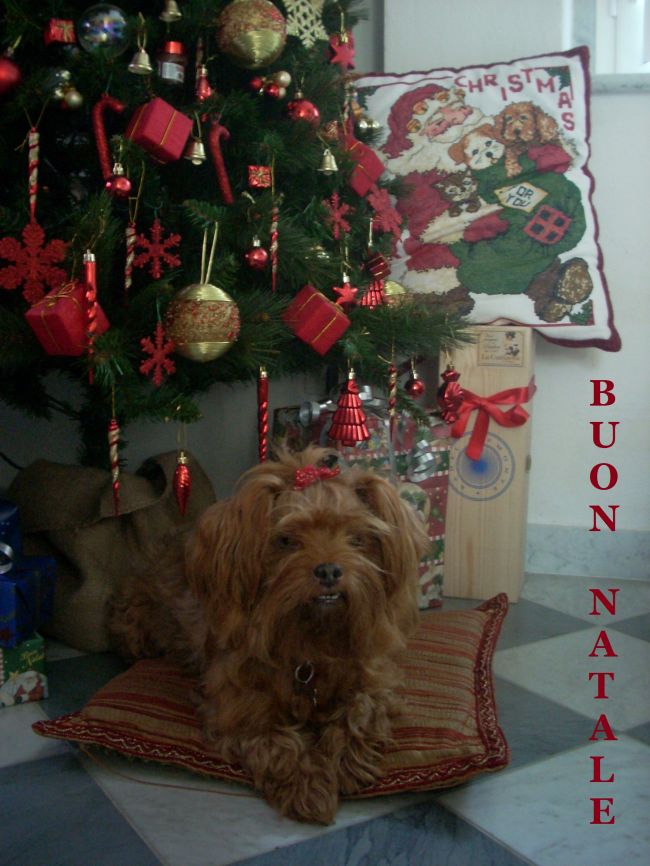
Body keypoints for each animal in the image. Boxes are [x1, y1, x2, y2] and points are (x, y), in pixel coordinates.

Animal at [109, 446, 428, 824]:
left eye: (356, 537)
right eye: (286, 540)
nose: (329, 570)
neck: (309, 639)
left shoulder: (375, 679)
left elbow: (360, 712)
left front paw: (344, 760)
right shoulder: (239, 705)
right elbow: (277, 743)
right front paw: (309, 785)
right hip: (136, 614)